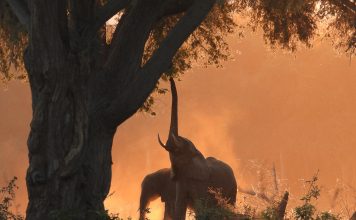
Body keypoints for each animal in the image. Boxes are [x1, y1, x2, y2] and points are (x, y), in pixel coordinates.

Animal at [158, 78, 238, 219]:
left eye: (180, 149)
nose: (170, 77)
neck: (196, 153)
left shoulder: (201, 183)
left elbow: (201, 209)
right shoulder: (181, 180)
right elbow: (179, 208)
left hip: (232, 189)